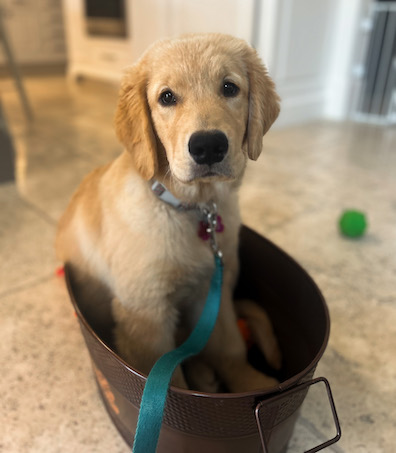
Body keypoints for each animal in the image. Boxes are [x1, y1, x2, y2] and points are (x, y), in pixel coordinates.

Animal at [57, 32, 284, 392]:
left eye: (229, 88)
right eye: (166, 97)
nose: (208, 146)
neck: (190, 209)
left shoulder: (212, 290)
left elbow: (228, 346)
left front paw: (252, 384)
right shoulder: (145, 314)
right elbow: (168, 379)